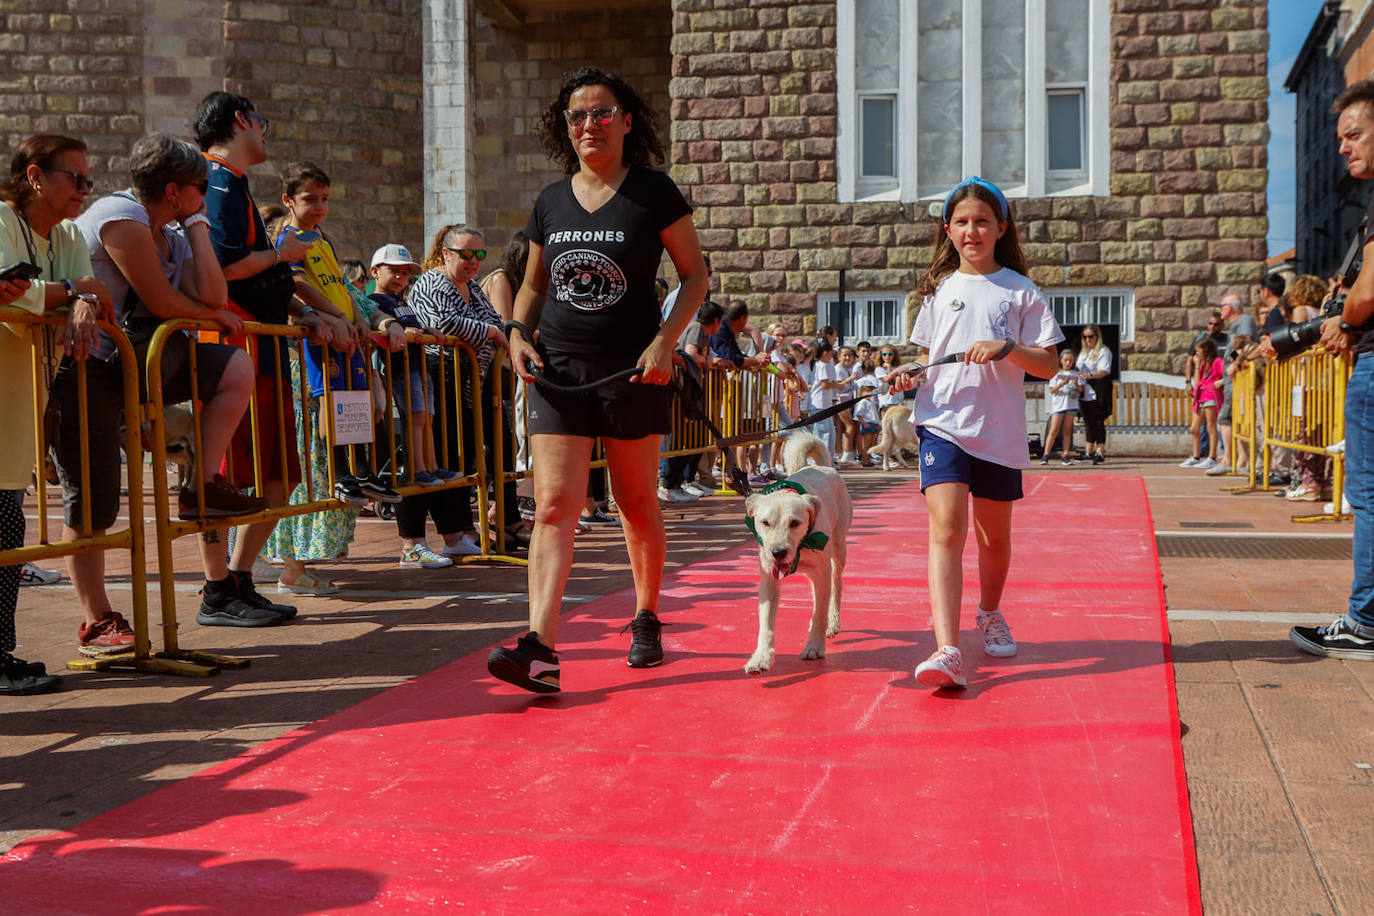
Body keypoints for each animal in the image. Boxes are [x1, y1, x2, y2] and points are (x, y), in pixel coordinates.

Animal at [741, 431, 846, 672]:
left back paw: (833, 622)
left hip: (839, 550)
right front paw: (761, 657)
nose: (778, 552)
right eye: (765, 523)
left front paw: (814, 647)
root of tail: (825, 467)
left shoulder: (822, 572)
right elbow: (766, 622)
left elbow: (819, 613)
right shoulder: (769, 579)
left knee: (835, 586)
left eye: (795, 523)